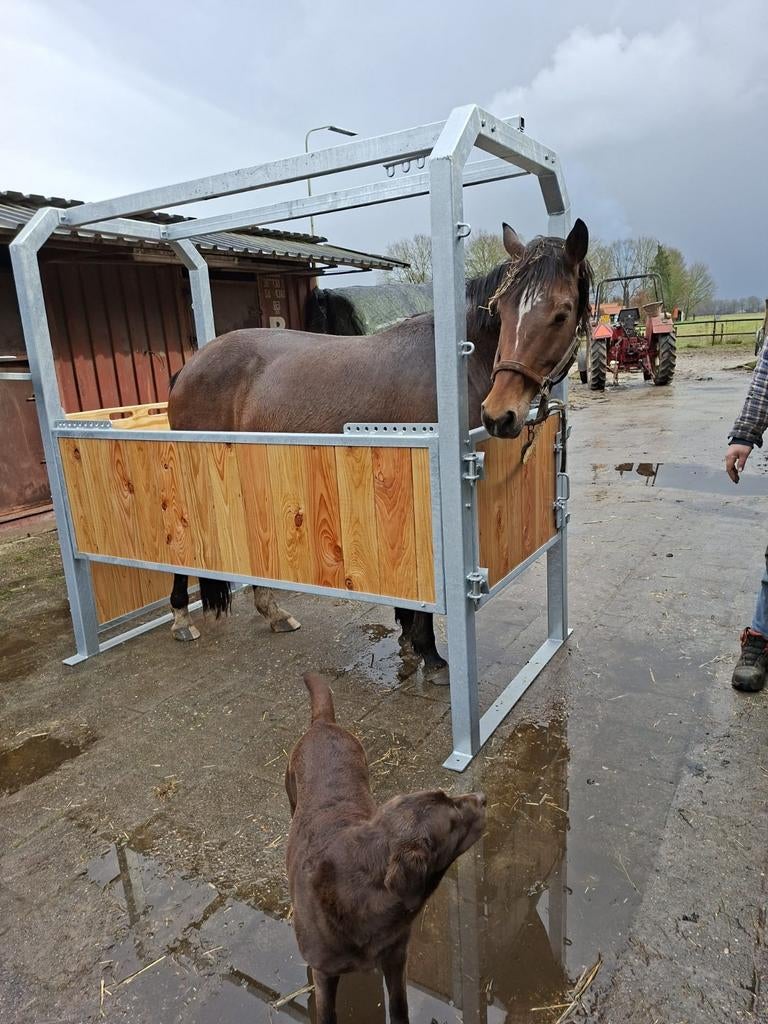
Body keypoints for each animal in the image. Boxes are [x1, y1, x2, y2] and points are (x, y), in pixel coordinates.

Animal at [166, 220, 591, 682]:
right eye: (504, 310)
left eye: (562, 312)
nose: (500, 415)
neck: (457, 366)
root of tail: (191, 365)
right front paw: (429, 653)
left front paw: (408, 640)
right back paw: (181, 617)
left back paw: (273, 612)